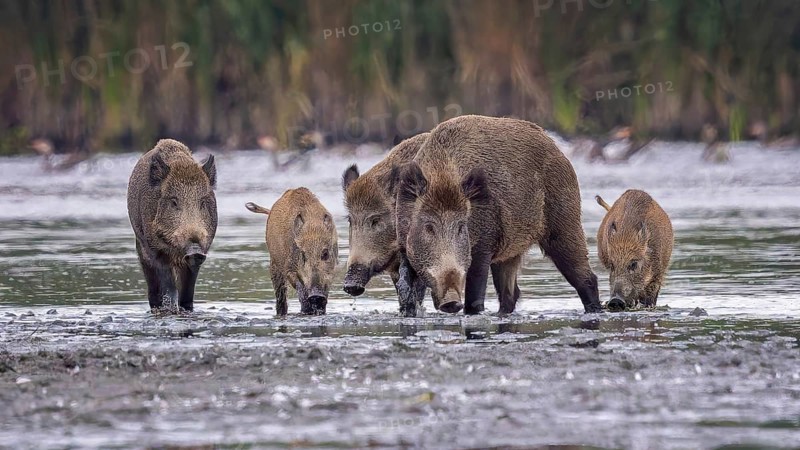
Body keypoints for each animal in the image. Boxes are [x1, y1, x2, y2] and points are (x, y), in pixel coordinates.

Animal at [127, 139, 217, 312]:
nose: (194, 249)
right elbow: (168, 285)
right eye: (174, 202)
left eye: (202, 202)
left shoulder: (201, 252)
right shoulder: (155, 250)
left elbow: (187, 292)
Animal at [245, 187, 338, 316]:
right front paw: (306, 310)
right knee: (281, 298)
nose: (316, 295)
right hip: (274, 266)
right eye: (303, 255)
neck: (313, 230)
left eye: (325, 254)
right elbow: (299, 288)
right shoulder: (288, 267)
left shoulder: (331, 271)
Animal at [396, 115, 603, 315]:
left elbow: (475, 295)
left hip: (565, 221)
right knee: (510, 292)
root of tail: (556, 148)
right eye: (428, 227)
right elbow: (406, 288)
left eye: (461, 226)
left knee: (585, 277)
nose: (452, 302)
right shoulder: (404, 245)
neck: (442, 175)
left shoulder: (483, 244)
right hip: (511, 249)